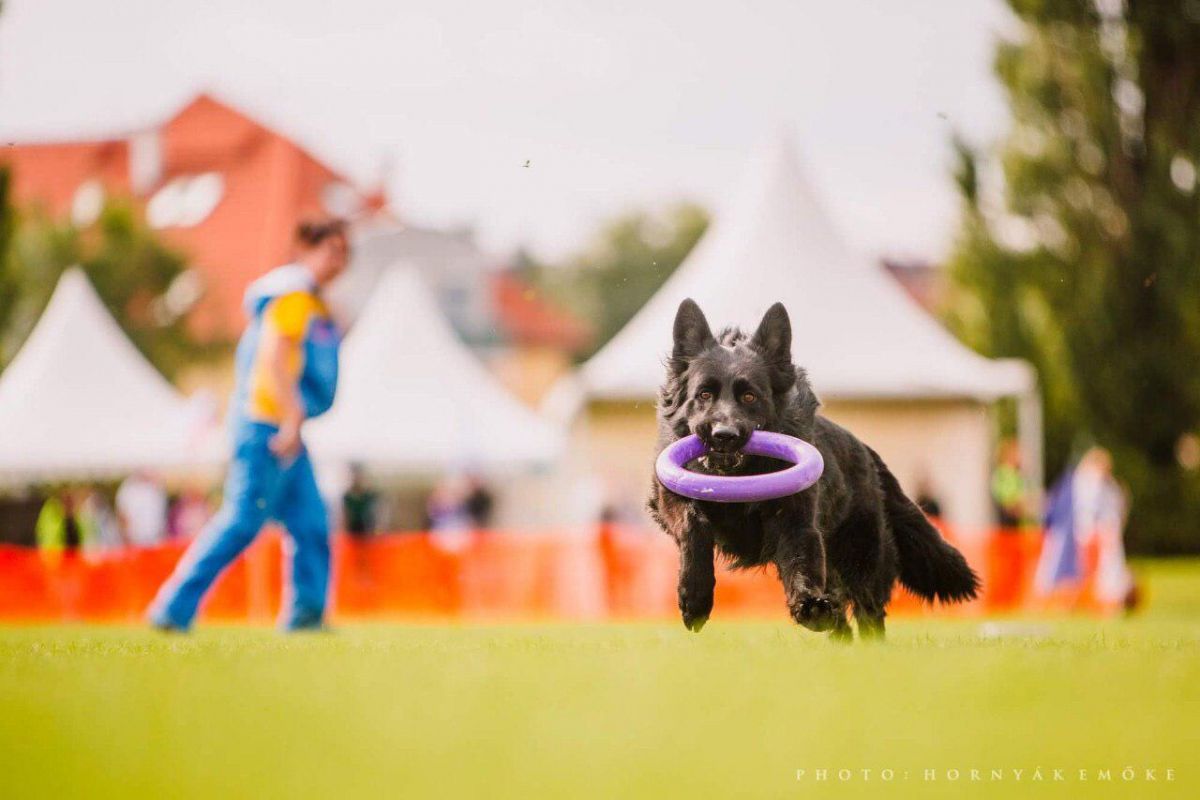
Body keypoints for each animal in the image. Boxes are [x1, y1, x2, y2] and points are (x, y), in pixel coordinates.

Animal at [652, 297, 979, 642]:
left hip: (861, 555)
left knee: (868, 610)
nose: (723, 436)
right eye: (704, 395)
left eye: (750, 396)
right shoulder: (667, 497)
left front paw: (808, 604)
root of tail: (866, 452)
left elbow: (801, 561)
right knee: (842, 614)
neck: (738, 479)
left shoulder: (797, 520)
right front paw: (695, 597)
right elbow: (693, 523)